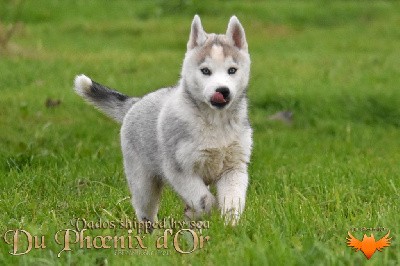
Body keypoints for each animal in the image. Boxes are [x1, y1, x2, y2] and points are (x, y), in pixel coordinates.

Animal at [73, 15, 252, 225]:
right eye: (205, 71)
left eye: (232, 70)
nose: (222, 91)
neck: (214, 122)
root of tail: (137, 102)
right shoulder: (179, 170)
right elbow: (205, 200)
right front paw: (205, 212)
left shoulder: (234, 168)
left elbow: (232, 203)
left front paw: (230, 226)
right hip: (143, 184)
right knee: (145, 211)